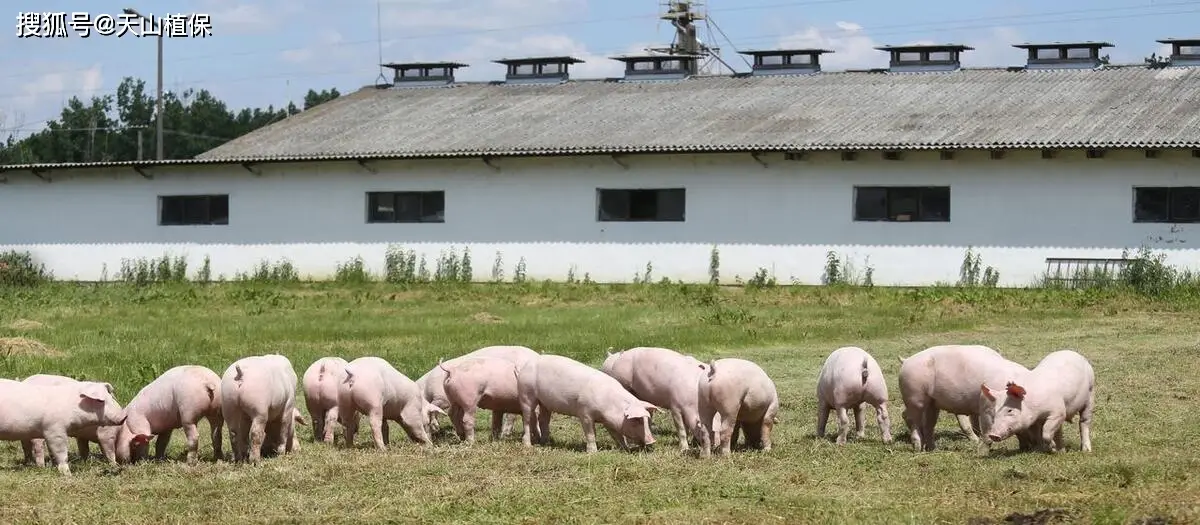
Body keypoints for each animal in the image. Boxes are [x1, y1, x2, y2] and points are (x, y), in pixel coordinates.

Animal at [518, 350, 662, 453]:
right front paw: (593, 452)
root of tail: (527, 365)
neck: (610, 405)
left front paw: (626, 449)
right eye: (637, 420)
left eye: (647, 420)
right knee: (527, 419)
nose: (652, 441)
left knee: (543, 419)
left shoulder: (609, 421)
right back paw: (528, 445)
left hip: (545, 402)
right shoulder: (585, 413)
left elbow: (617, 435)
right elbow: (591, 433)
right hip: (526, 394)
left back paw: (546, 443)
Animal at [897, 345, 1036, 450]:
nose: (1032, 447)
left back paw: (932, 449)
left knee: (928, 424)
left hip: (931, 402)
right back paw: (917, 448)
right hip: (914, 396)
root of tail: (906, 361)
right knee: (910, 417)